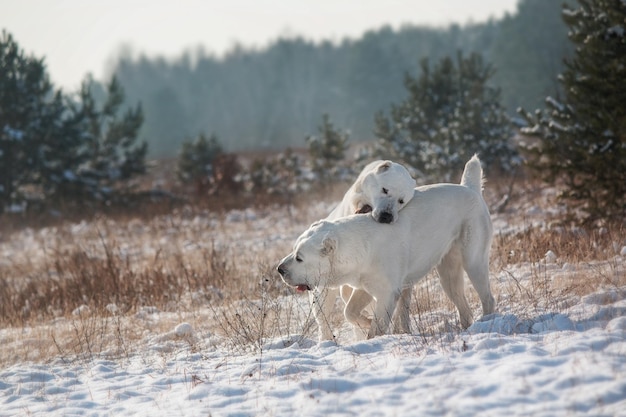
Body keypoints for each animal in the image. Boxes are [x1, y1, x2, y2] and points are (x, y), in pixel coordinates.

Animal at [276, 155, 492, 338]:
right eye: (294, 250)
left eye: (299, 257)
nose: (280, 269)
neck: (361, 246)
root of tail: (470, 188)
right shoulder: (364, 279)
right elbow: (349, 310)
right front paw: (366, 322)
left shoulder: (388, 290)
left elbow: (378, 321)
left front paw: (373, 336)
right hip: (448, 262)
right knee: (455, 289)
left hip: (472, 247)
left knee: (482, 286)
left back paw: (488, 321)